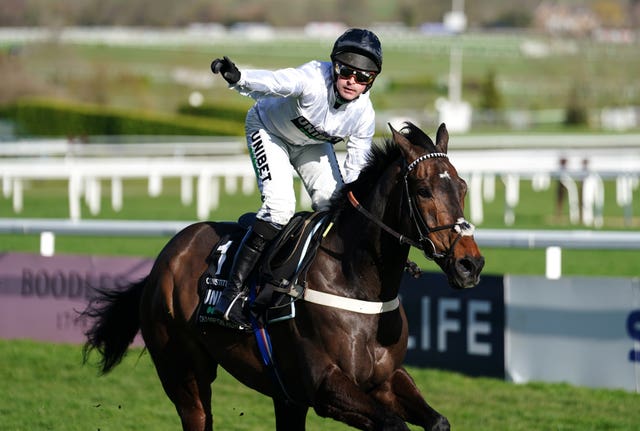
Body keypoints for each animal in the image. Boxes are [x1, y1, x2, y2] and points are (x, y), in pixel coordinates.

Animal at [84, 122, 484, 431]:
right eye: (423, 190)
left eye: (463, 187)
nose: (471, 265)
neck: (357, 285)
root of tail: (164, 259)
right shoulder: (326, 387)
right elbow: (393, 423)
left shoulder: (385, 380)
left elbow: (437, 421)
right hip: (182, 371)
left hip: (285, 396)